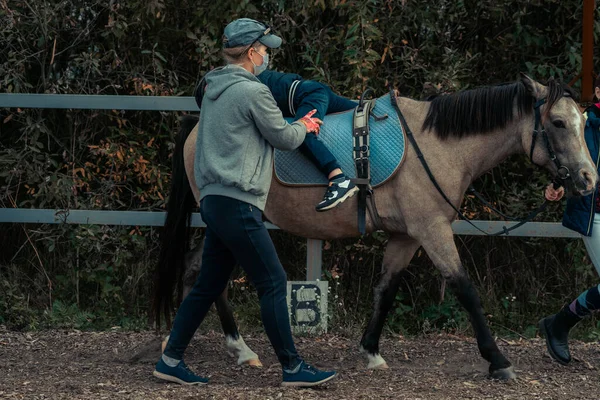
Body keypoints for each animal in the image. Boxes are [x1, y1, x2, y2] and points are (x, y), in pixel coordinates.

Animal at [154, 74, 596, 378]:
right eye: (559, 122)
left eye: (583, 120)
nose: (589, 178)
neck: (438, 146)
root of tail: (197, 127)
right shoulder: (432, 230)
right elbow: (465, 290)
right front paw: (498, 360)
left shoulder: (405, 237)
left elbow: (386, 289)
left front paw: (371, 351)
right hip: (232, 221)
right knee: (208, 274)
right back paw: (230, 347)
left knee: (201, 271)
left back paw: (232, 348)